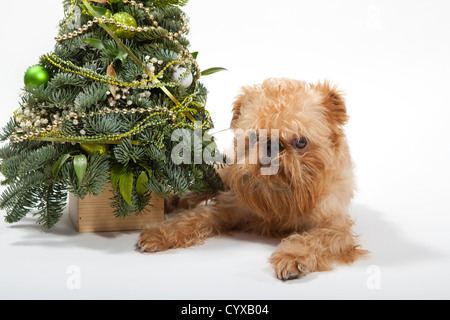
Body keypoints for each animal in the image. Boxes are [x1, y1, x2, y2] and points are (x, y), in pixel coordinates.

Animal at [137, 78, 366, 280]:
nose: (271, 145)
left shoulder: (335, 228)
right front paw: (161, 232)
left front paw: (292, 256)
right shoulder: (228, 208)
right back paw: (171, 200)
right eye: (256, 137)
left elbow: (312, 240)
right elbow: (193, 218)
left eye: (301, 142)